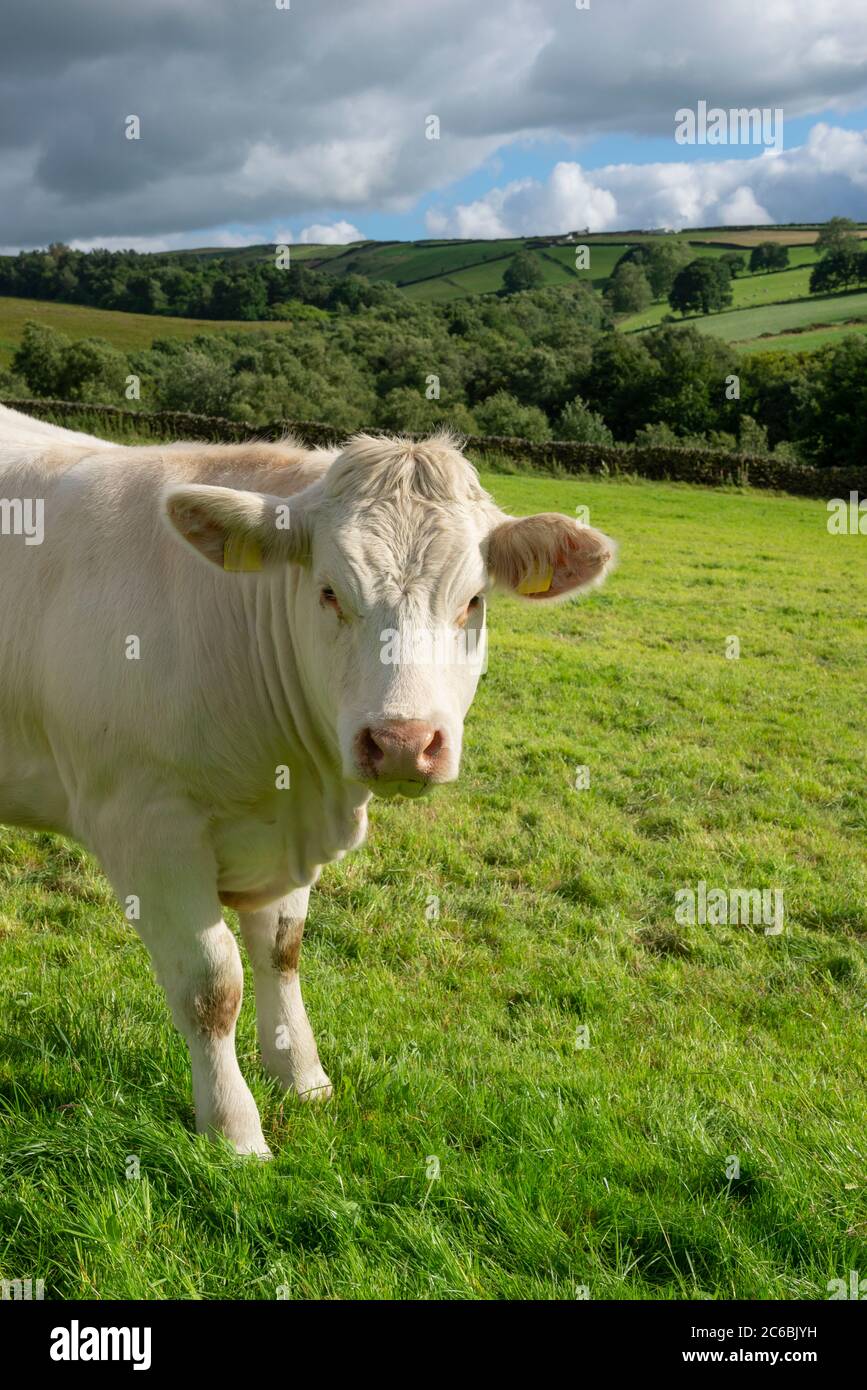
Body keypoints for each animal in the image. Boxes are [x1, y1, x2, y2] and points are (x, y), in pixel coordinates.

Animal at [0, 405, 616, 1156]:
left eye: (473, 601)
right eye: (329, 592)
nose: (403, 743)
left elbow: (281, 952)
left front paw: (301, 1076)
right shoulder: (146, 824)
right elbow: (211, 986)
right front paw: (235, 1131)